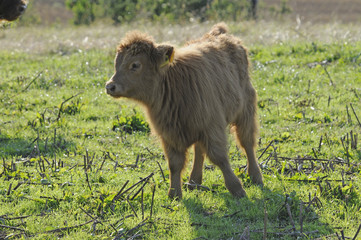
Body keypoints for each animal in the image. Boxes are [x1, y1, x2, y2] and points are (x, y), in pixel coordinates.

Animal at [105, 23, 262, 199]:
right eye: (116, 63)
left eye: (135, 65)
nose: (110, 86)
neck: (174, 86)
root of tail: (220, 33)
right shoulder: (170, 135)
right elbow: (174, 164)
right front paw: (174, 193)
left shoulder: (212, 127)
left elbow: (220, 158)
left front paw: (237, 189)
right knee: (199, 149)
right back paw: (194, 181)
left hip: (246, 109)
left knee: (247, 142)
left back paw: (255, 176)